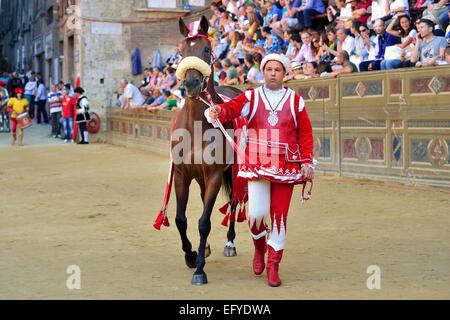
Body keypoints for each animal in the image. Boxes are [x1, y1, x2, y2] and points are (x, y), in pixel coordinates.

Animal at [172, 16, 243, 284]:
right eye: (181, 52)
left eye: (205, 49)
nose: (191, 83)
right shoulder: (182, 174)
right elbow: (180, 219)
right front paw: (191, 255)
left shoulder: (213, 175)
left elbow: (204, 222)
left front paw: (199, 270)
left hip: (233, 171)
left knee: (233, 202)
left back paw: (230, 243)